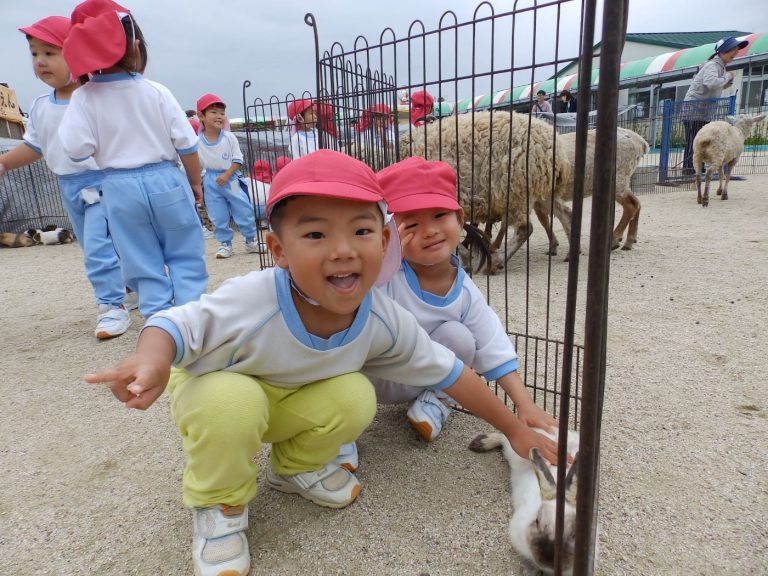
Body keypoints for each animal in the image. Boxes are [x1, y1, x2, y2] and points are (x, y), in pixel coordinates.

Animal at [402, 113, 568, 276]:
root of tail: (556, 145)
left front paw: (465, 260)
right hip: (537, 190)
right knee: (562, 213)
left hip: (515, 189)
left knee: (525, 228)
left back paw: (496, 263)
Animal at [468, 428, 584, 576]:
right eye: (537, 521)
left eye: (575, 534)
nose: (547, 559)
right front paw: (529, 570)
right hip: (513, 449)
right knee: (503, 437)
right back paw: (481, 442)